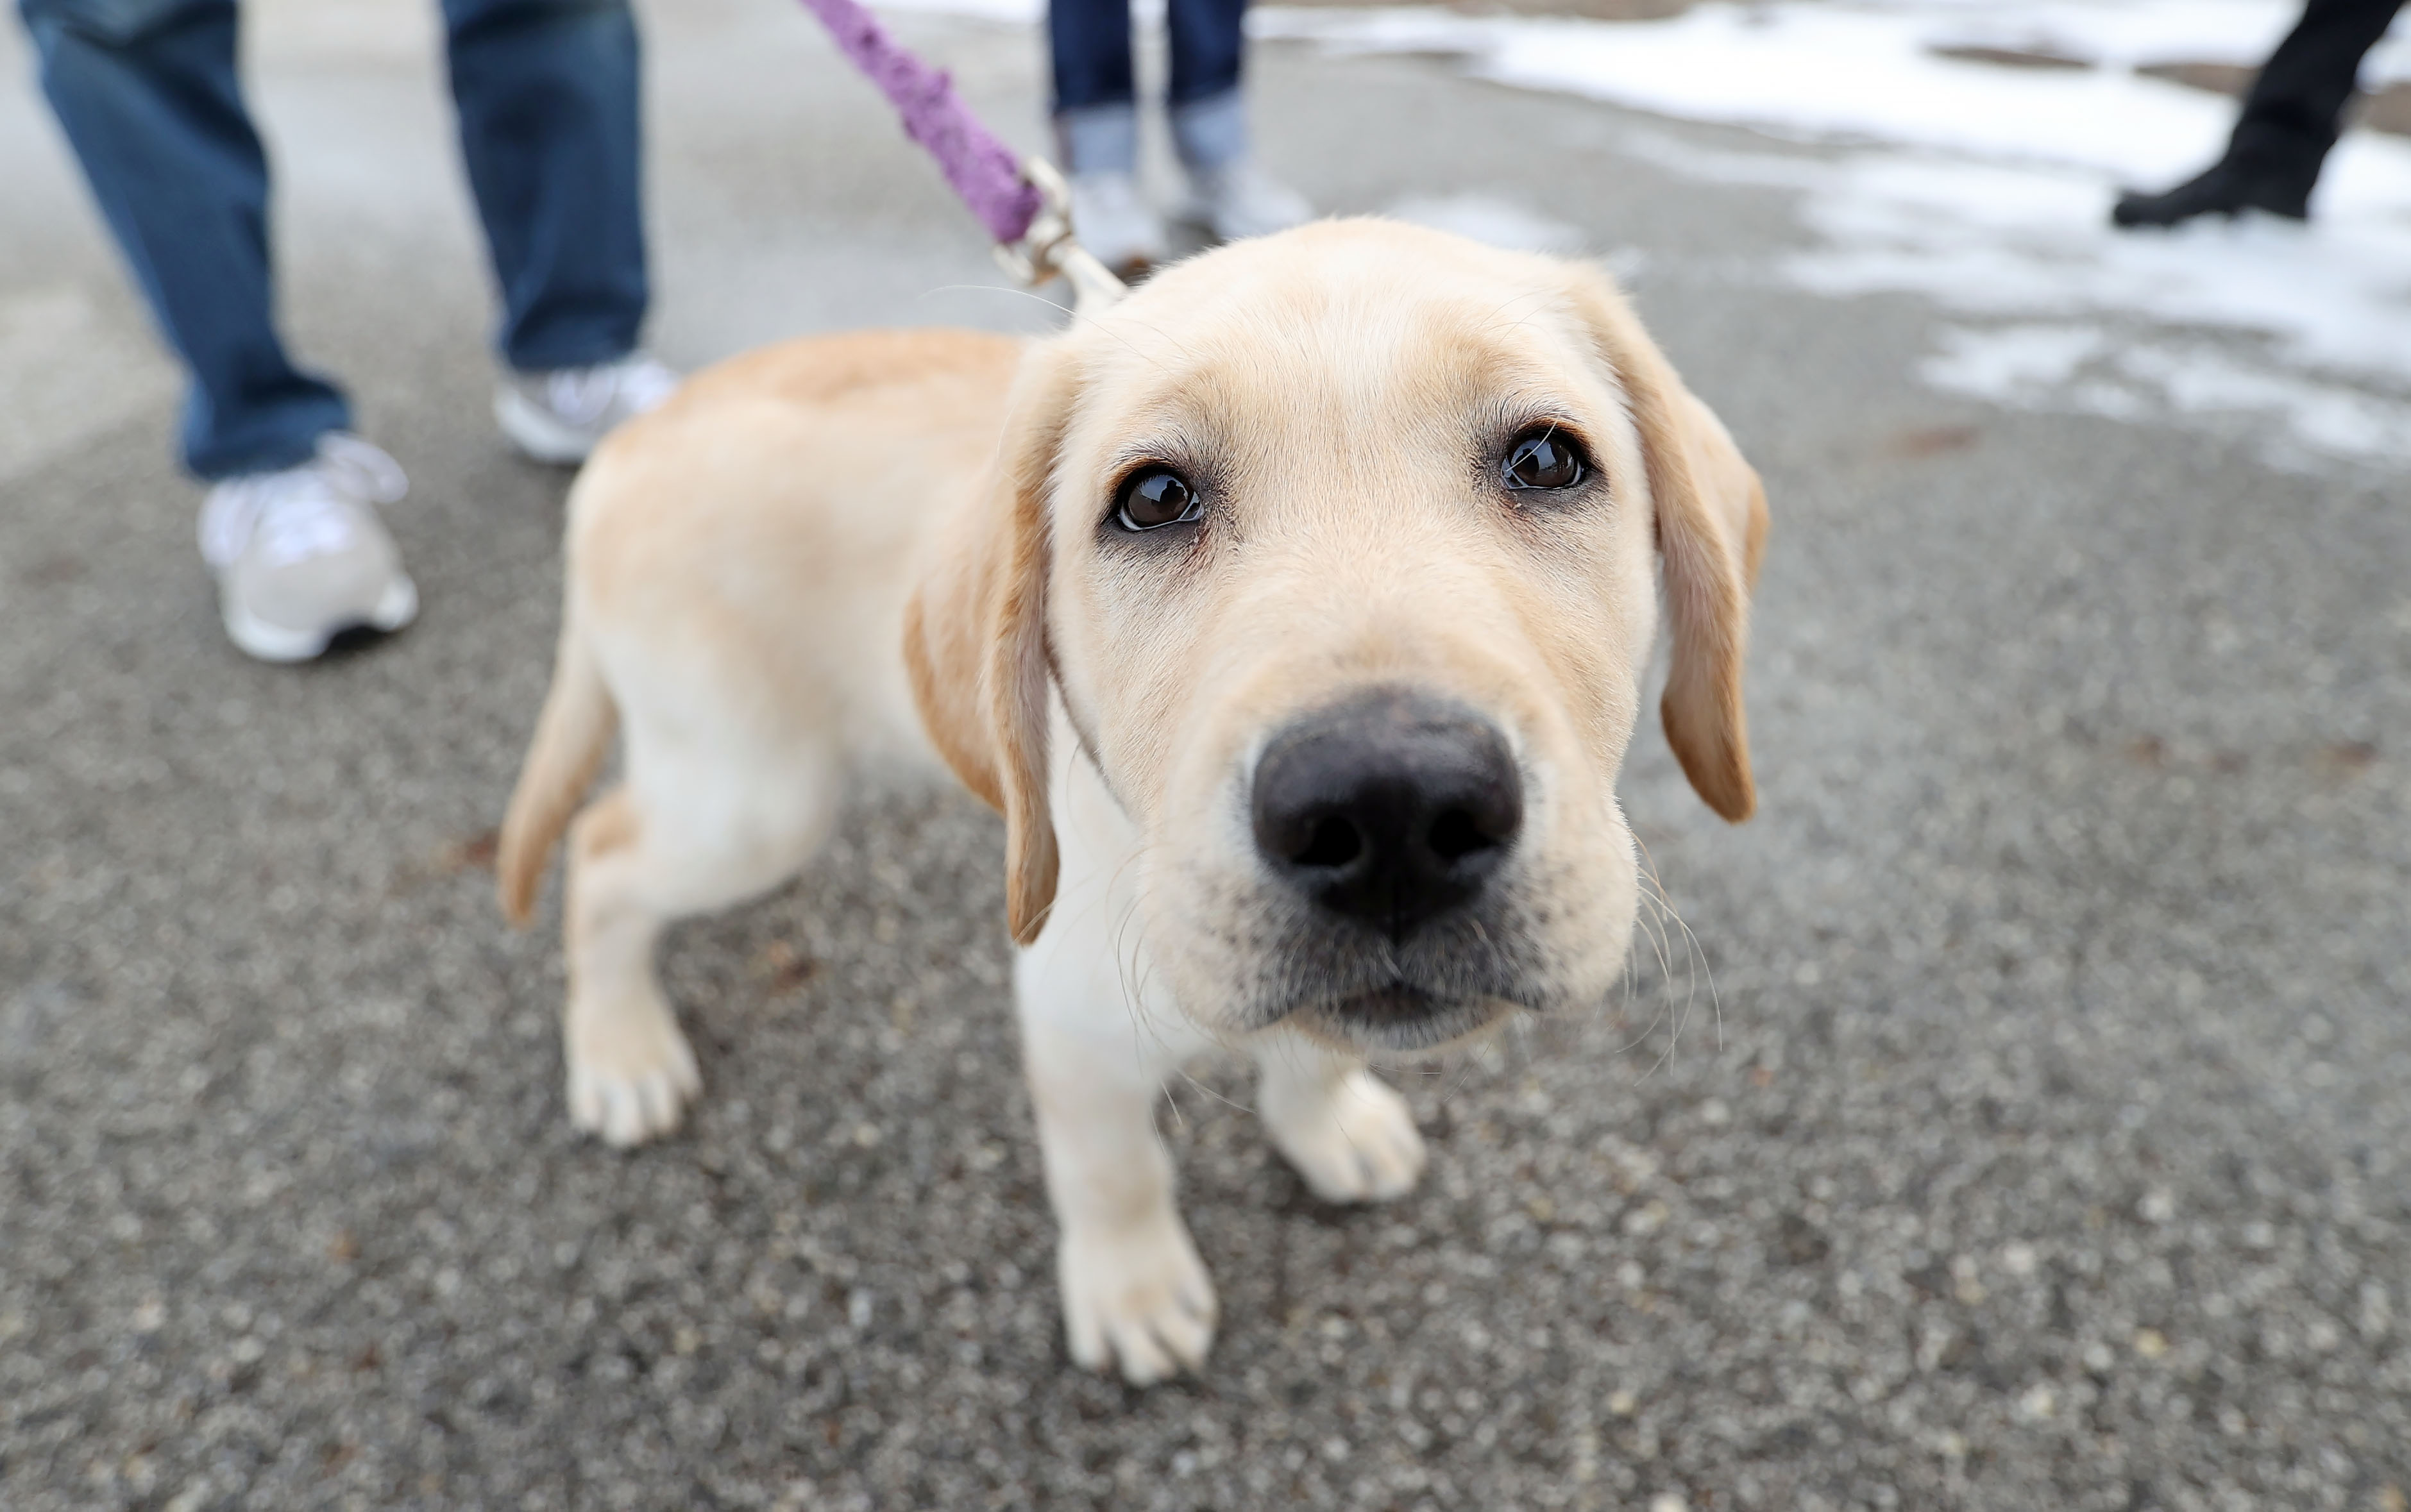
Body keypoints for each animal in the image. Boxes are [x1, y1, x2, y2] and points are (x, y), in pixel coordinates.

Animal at [494, 219, 1774, 1389]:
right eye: (1152, 498)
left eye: (1546, 462)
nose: (1393, 812)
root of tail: (624, 449)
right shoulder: (1069, 1006)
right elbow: (1110, 1167)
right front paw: (1134, 1289)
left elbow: (1311, 1050)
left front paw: (1326, 1124)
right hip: (754, 792)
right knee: (600, 851)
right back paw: (620, 1050)